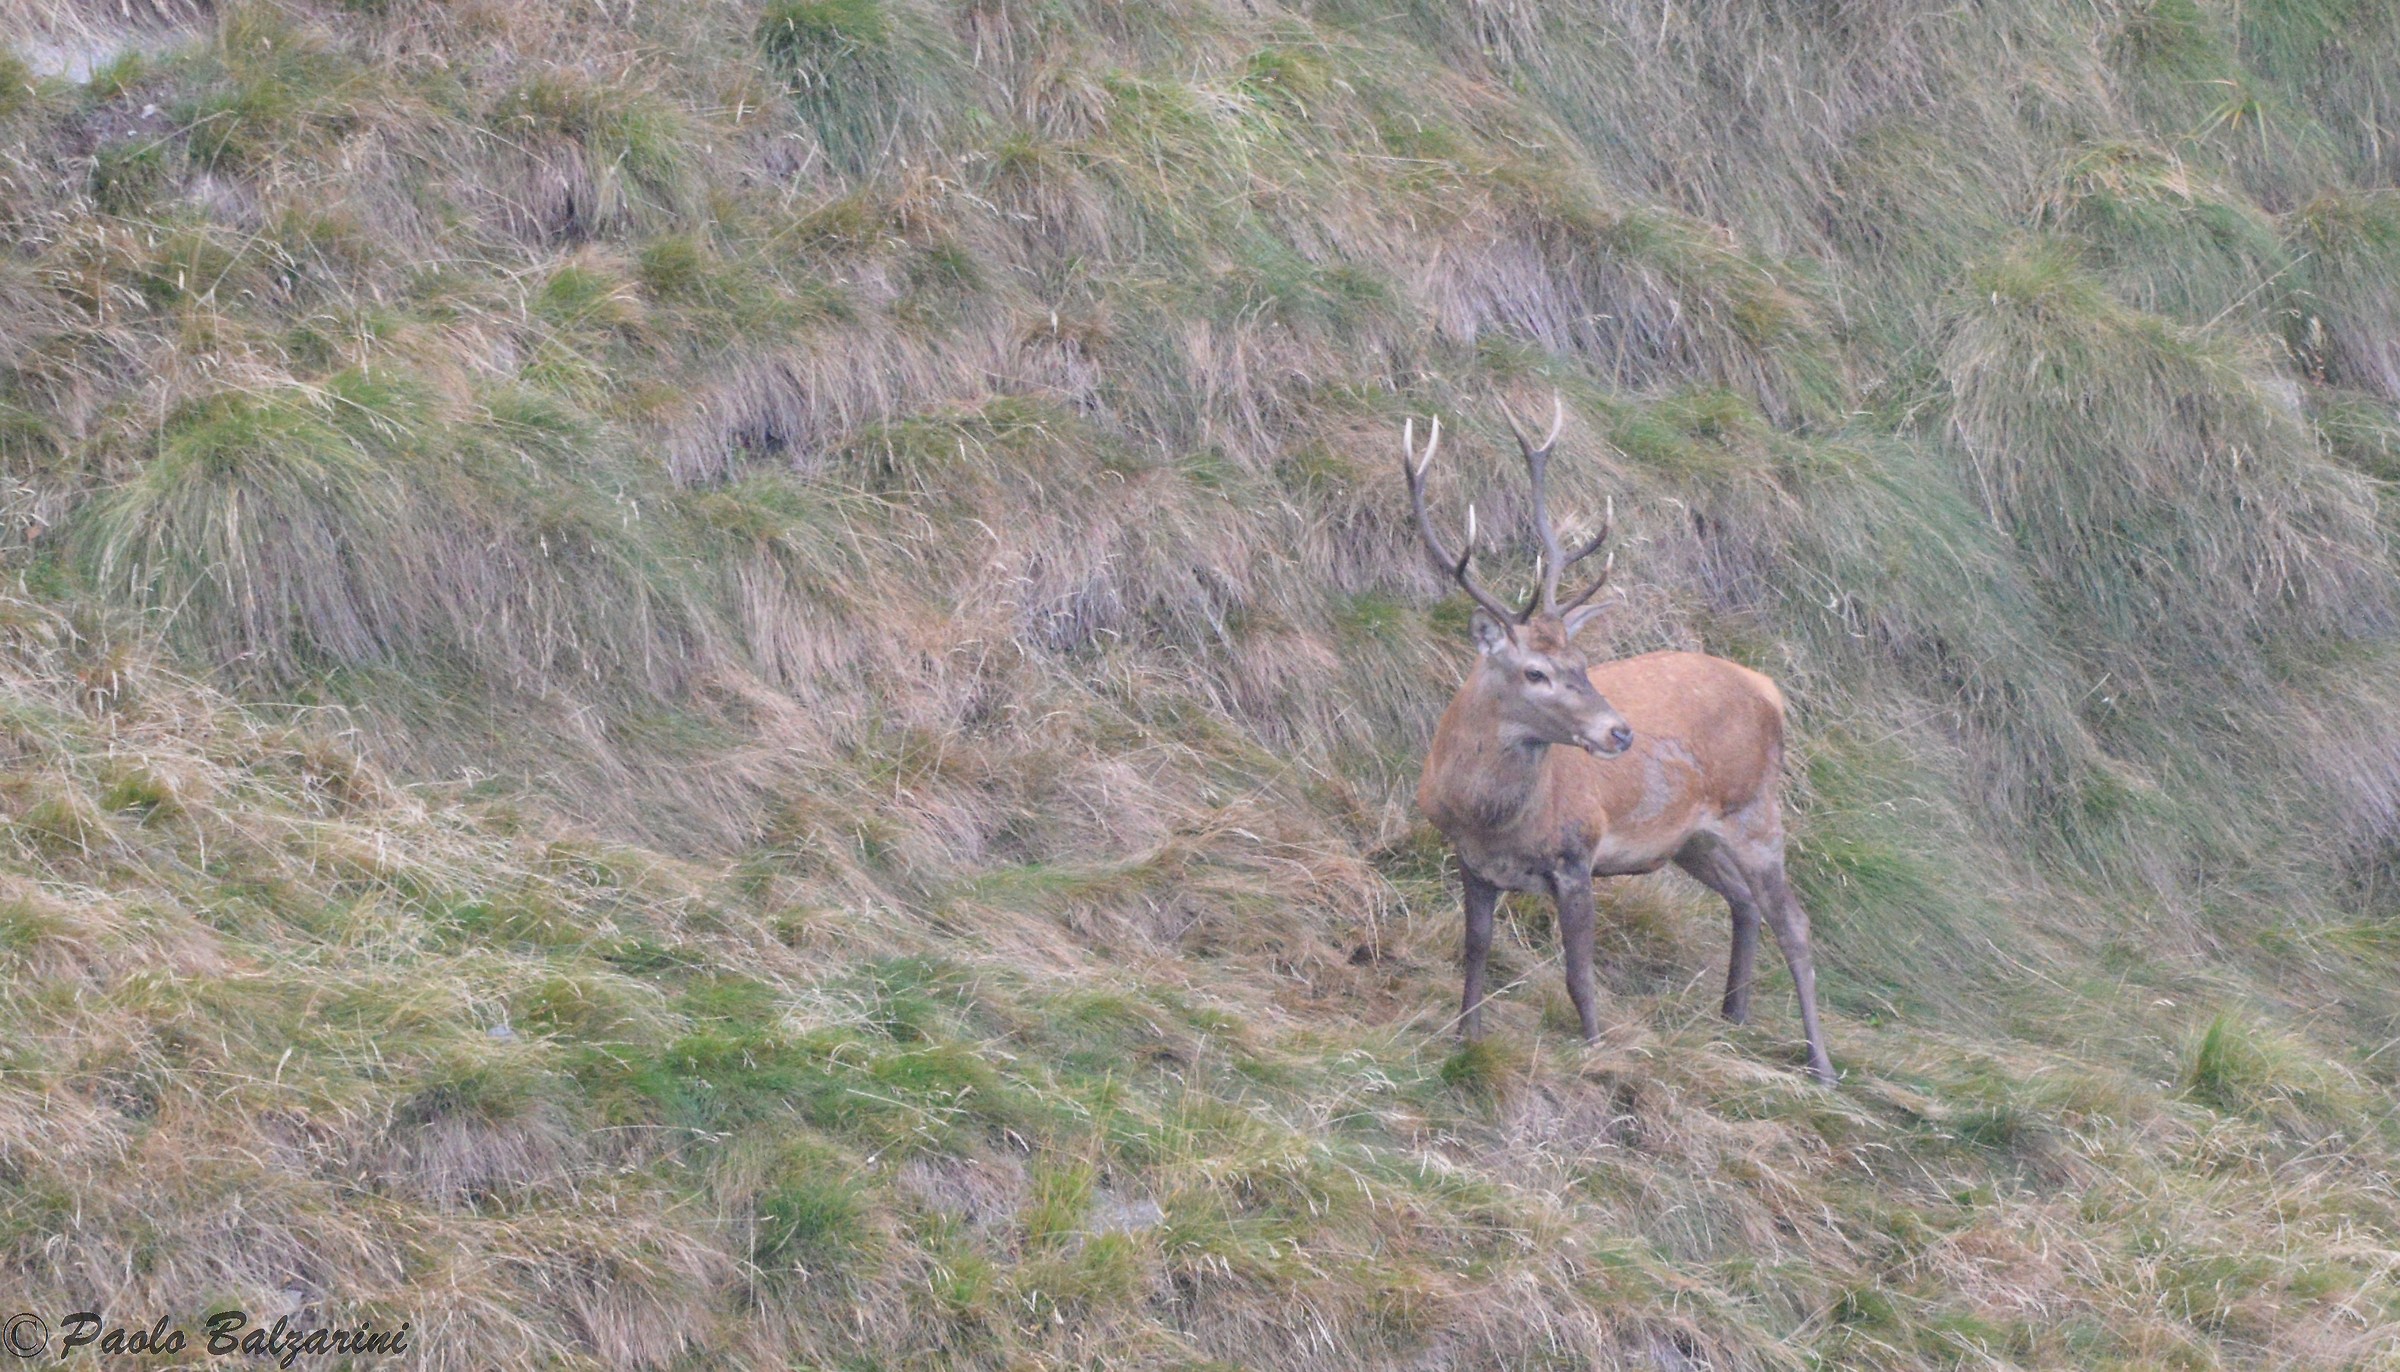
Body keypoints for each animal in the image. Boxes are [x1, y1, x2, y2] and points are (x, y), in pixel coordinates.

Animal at [1401, 399, 1835, 1085]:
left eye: (1582, 662)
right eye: (1536, 672)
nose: (1620, 730)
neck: (1494, 819)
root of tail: (1769, 688)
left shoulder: (1577, 855)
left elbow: (1579, 974)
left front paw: (1598, 1050)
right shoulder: (1469, 861)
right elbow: (1475, 952)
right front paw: (1464, 1039)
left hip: (1756, 808)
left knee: (1792, 920)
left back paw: (1820, 1063)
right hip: (1691, 839)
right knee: (1744, 902)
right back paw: (1732, 1018)